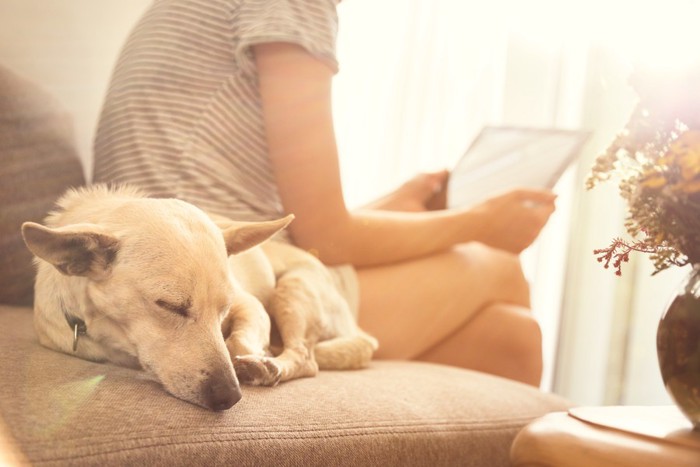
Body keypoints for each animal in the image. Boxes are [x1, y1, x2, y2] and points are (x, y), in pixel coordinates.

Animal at [21, 185, 374, 412]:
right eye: (169, 306)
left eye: (224, 309)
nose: (230, 398)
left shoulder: (251, 305)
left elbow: (238, 341)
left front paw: (247, 355)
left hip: (293, 288)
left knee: (306, 357)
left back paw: (267, 365)